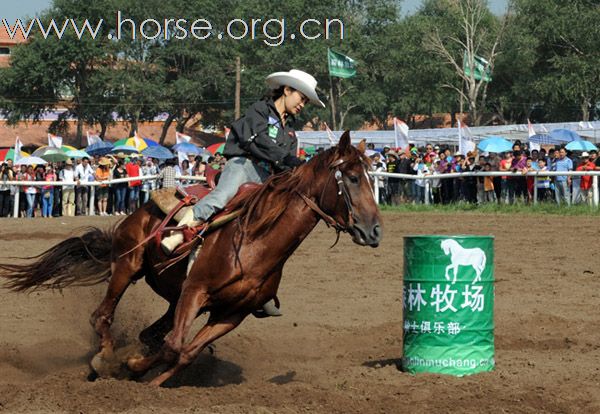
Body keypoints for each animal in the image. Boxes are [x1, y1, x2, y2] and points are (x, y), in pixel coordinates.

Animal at [1, 131, 380, 386]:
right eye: (352, 177)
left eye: (369, 177)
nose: (374, 230)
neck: (255, 242)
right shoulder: (196, 291)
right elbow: (174, 346)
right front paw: (132, 369)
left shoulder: (232, 313)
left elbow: (184, 351)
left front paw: (144, 375)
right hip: (128, 266)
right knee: (101, 317)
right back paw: (104, 359)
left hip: (173, 297)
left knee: (149, 333)